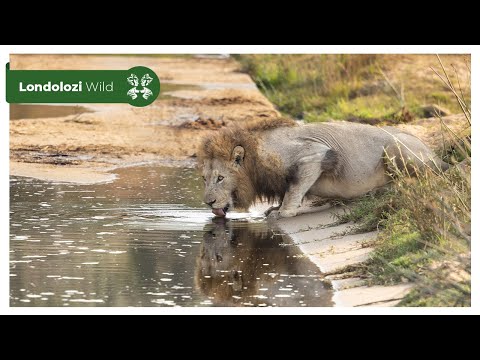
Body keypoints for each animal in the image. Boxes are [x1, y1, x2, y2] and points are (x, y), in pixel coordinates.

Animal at [197, 119, 448, 218]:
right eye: (204, 179)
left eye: (220, 178)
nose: (208, 202)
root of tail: (435, 154)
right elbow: (288, 190)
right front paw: (275, 207)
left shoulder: (316, 153)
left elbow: (294, 189)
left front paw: (282, 212)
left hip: (394, 147)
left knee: (428, 178)